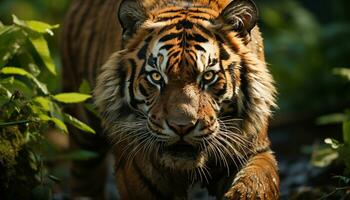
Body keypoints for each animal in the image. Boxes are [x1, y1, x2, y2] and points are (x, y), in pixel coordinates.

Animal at [60, 0, 278, 198]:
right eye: (156, 77)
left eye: (208, 76)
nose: (181, 126)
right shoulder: (137, 170)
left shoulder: (256, 149)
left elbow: (256, 182)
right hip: (83, 133)